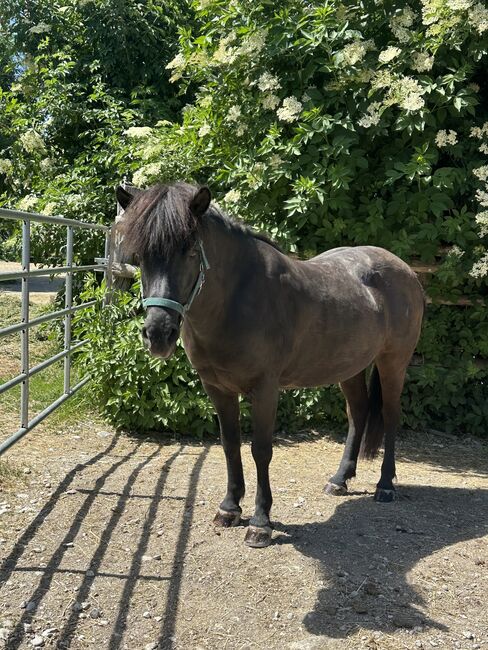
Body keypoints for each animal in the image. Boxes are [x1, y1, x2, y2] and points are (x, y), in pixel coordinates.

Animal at [116, 181, 425, 548]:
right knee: (358, 414)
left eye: (190, 251)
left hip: (393, 363)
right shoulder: (217, 388)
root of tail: (406, 271)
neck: (237, 299)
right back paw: (339, 479)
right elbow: (230, 445)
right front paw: (229, 508)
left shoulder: (264, 389)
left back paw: (385, 486)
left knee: (390, 417)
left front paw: (260, 522)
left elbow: (261, 450)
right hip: (348, 367)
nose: (158, 334)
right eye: (140, 256)